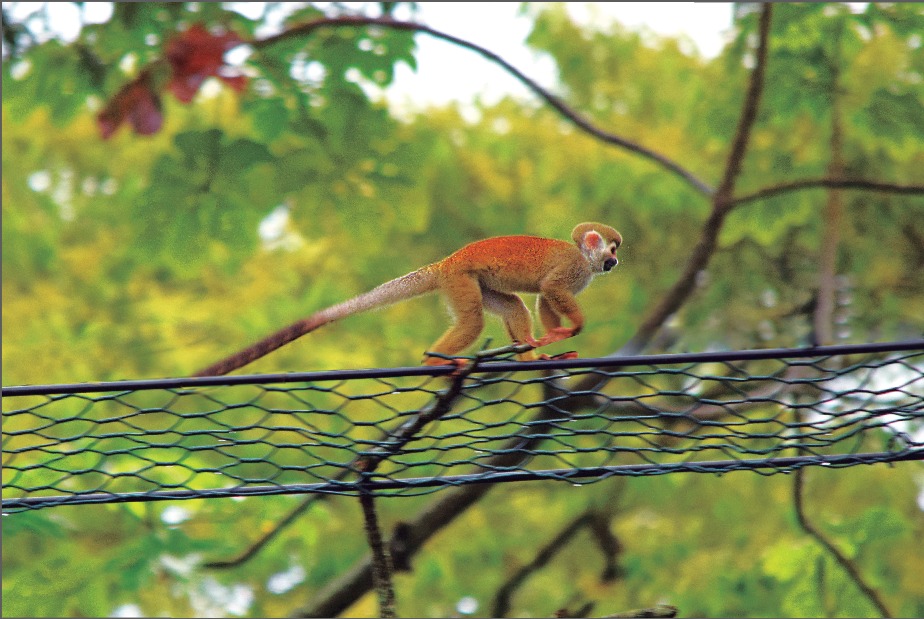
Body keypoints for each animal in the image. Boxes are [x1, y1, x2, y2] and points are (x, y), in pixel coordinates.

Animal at [199, 224, 624, 378]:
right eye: (613, 247)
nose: (615, 261)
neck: (584, 258)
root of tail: (446, 262)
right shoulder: (574, 269)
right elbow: (552, 290)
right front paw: (572, 329)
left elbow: (546, 301)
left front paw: (553, 343)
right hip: (460, 280)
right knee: (473, 320)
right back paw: (433, 362)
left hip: (471, 281)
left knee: (513, 306)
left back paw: (527, 356)